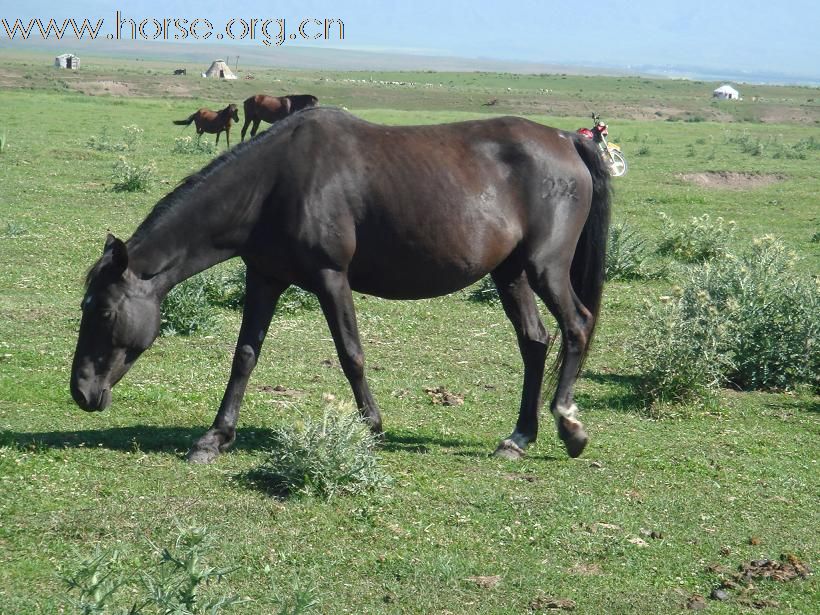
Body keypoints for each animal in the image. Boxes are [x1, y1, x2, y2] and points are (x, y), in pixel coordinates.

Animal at [72, 108, 608, 464]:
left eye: (103, 311)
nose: (81, 391)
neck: (274, 183)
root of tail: (567, 139)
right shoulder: (265, 278)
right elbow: (245, 356)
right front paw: (214, 438)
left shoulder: (331, 278)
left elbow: (351, 354)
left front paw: (372, 428)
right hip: (510, 272)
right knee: (535, 342)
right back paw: (519, 438)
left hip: (545, 267)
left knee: (577, 327)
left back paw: (569, 425)